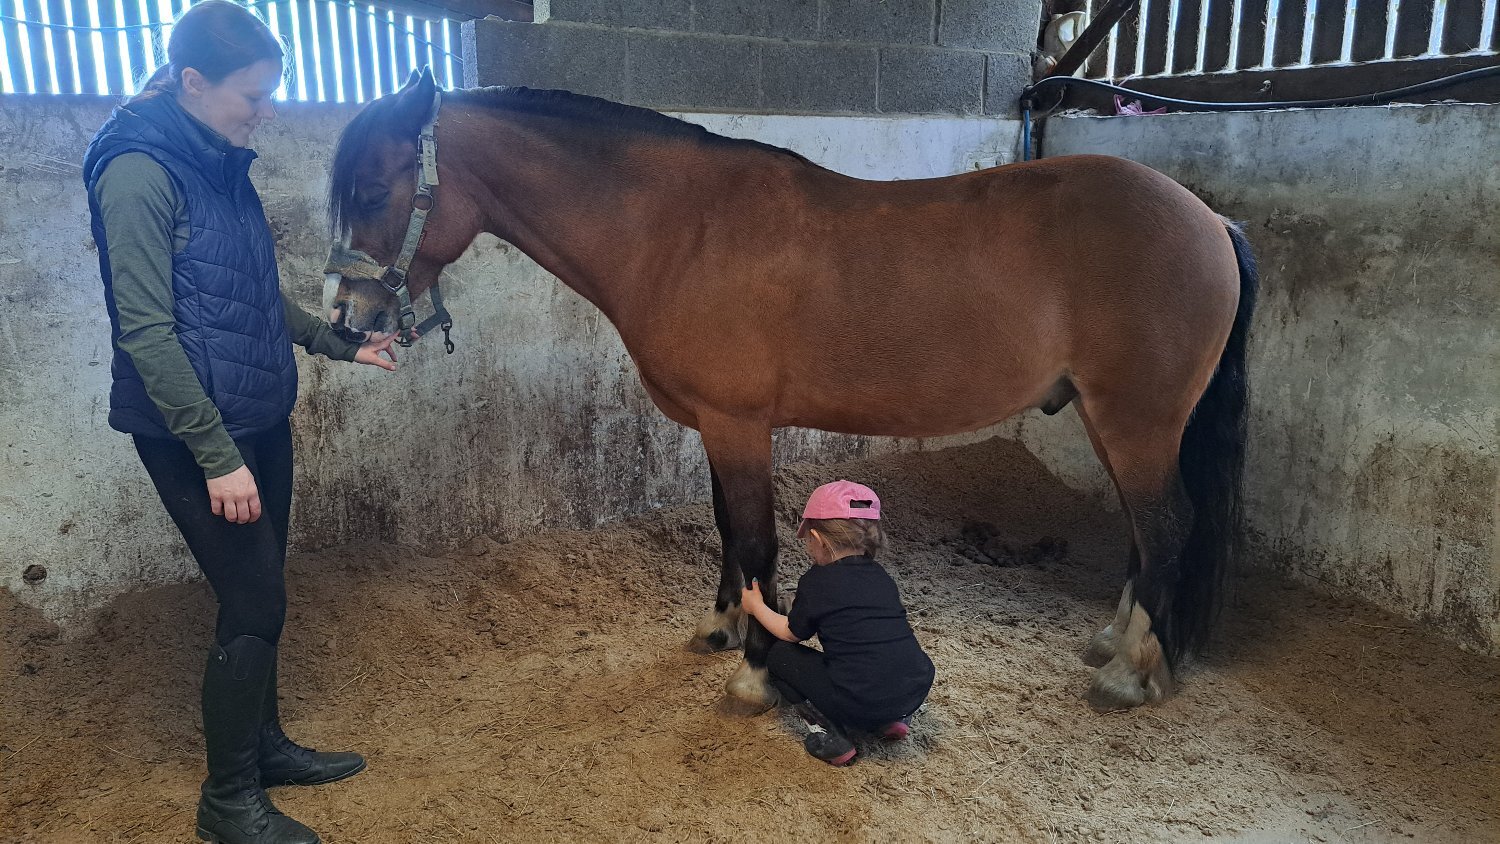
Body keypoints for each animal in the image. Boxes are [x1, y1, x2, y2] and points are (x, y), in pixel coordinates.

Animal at [323, 68, 1258, 713]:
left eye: (372, 188)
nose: (346, 318)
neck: (681, 230)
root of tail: (1208, 218)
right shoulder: (712, 424)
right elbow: (727, 532)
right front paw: (722, 628)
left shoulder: (739, 424)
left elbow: (758, 541)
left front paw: (755, 675)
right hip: (1111, 421)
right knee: (1143, 530)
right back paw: (1110, 641)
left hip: (1136, 421)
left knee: (1168, 527)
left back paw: (1131, 675)